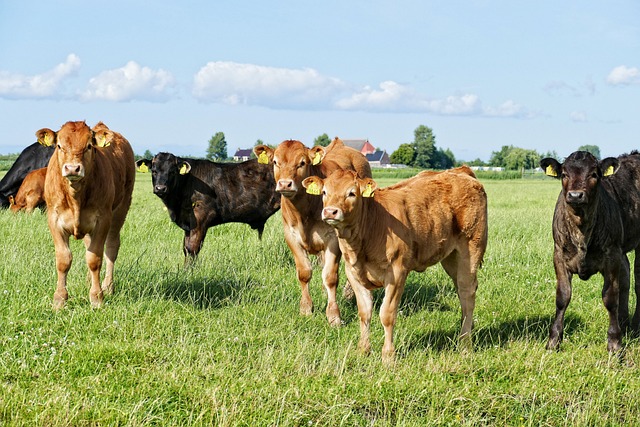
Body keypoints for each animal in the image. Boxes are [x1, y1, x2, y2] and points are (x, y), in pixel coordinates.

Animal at [37, 122, 136, 310]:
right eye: (59, 146)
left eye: (89, 146)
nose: (72, 168)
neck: (75, 196)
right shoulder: (54, 220)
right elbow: (63, 260)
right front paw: (59, 299)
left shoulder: (103, 220)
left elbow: (94, 259)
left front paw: (97, 297)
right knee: (89, 245)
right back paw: (89, 281)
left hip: (121, 209)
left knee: (111, 247)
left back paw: (107, 286)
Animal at [140, 154, 280, 260]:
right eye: (154, 171)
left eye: (172, 172)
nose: (160, 188)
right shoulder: (188, 223)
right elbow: (186, 248)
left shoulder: (201, 217)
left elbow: (193, 248)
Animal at [255, 139, 372, 326]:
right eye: (275, 162)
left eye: (302, 163)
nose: (285, 184)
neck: (304, 211)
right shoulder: (291, 237)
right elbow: (304, 273)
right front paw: (306, 309)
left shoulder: (333, 240)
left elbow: (331, 277)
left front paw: (334, 316)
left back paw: (348, 294)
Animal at [302, 167, 488, 364]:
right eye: (324, 192)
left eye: (351, 193)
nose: (330, 212)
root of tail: (460, 170)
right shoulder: (353, 273)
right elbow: (364, 312)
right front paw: (363, 350)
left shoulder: (397, 273)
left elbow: (387, 314)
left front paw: (388, 356)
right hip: (451, 258)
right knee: (461, 291)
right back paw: (467, 327)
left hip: (470, 251)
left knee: (468, 294)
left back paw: (465, 344)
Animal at [540, 152, 640, 352]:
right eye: (564, 174)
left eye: (594, 174)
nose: (575, 195)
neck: (582, 229)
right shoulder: (559, 255)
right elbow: (562, 297)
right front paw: (553, 341)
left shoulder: (612, 256)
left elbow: (610, 298)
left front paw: (615, 344)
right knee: (626, 277)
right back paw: (625, 324)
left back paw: (634, 325)